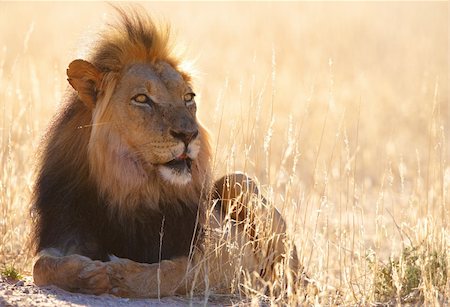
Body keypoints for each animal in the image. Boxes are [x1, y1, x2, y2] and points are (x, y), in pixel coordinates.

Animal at [31, 7, 304, 300]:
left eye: (188, 97)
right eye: (142, 99)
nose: (189, 135)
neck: (130, 186)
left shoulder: (210, 256)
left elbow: (170, 273)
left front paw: (118, 274)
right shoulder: (67, 229)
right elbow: (41, 265)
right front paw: (87, 274)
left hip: (238, 182)